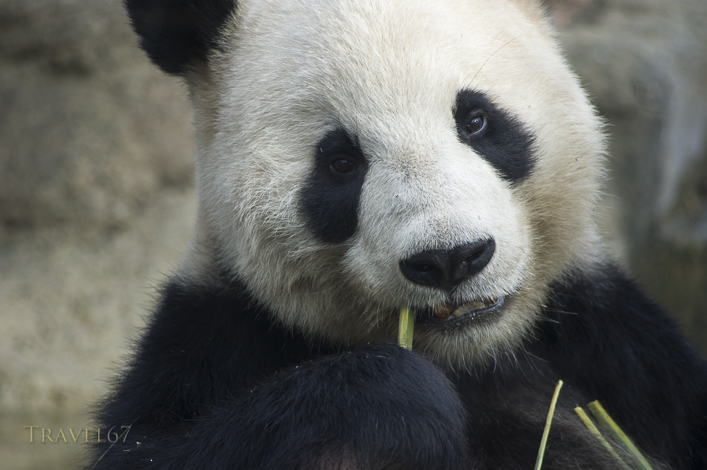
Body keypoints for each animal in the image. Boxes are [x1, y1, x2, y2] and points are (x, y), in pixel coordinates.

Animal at [87, 0, 707, 469]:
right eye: (341, 161)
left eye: (476, 120)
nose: (452, 258)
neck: (471, 356)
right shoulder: (214, 336)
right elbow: (158, 450)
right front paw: (403, 403)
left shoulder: (613, 352)